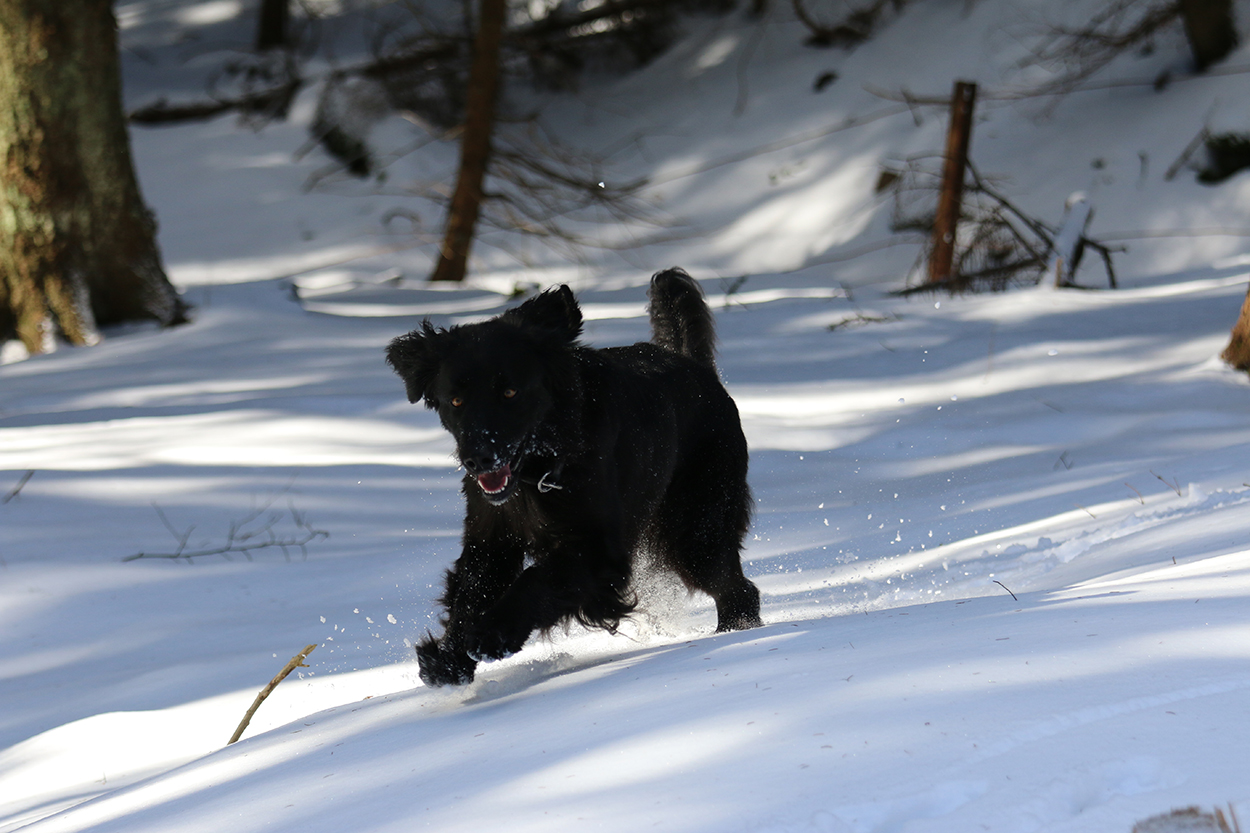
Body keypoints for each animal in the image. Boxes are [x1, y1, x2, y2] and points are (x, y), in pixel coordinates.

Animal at [386, 268, 762, 686]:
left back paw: (730, 636)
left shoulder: (600, 549)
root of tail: (696, 366)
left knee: (739, 589)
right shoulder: (491, 536)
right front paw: (448, 659)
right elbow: (472, 592)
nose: (478, 459)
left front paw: (493, 635)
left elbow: (537, 580)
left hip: (697, 529)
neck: (538, 469)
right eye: (455, 400)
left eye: (510, 392)